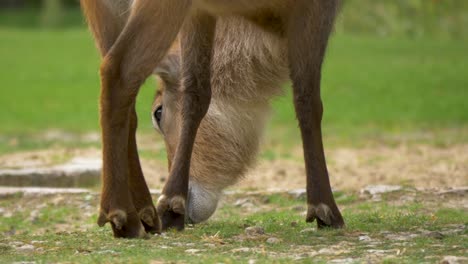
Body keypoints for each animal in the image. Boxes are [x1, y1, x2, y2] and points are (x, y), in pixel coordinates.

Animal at [80, 0, 344, 238]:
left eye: (158, 112)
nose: (187, 205)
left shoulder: (200, 12)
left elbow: (196, 93)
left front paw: (172, 205)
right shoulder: (318, 8)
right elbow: (308, 100)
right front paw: (325, 209)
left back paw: (146, 214)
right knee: (118, 72)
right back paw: (124, 216)